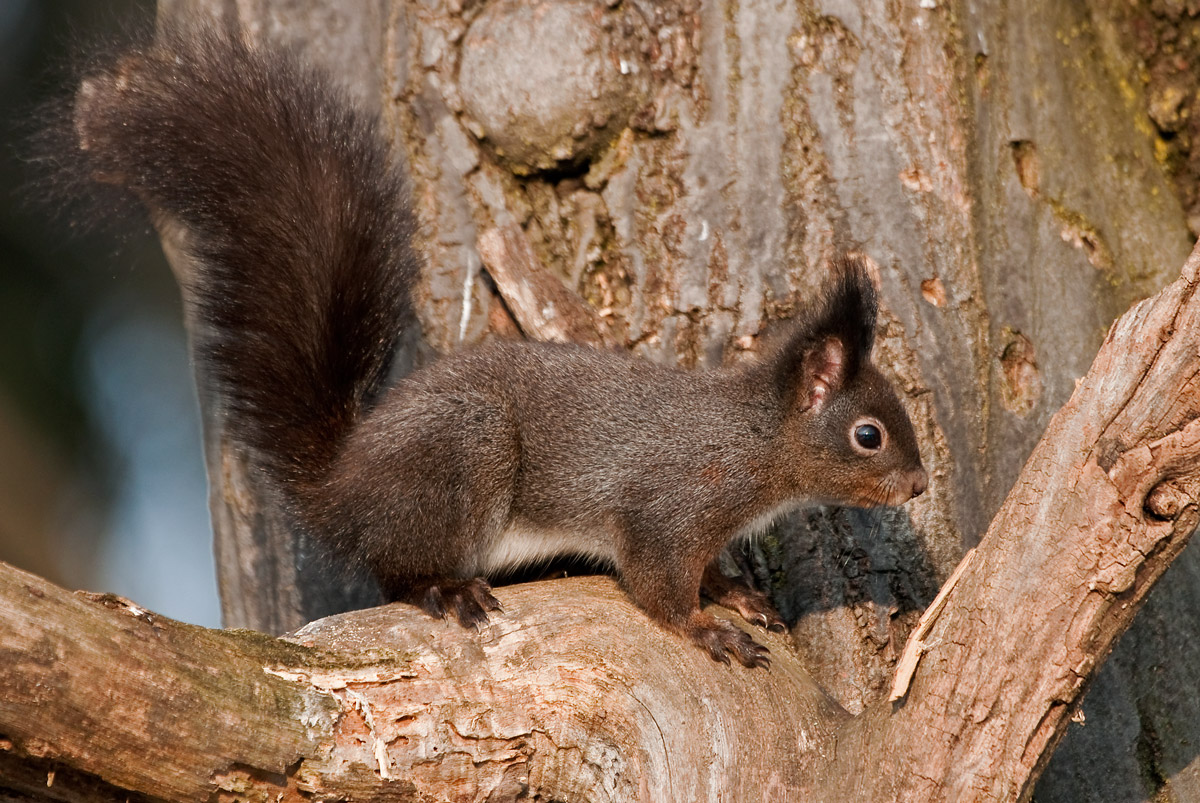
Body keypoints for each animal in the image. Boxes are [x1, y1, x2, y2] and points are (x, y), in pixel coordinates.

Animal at [66, 26, 927, 668]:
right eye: (869, 434)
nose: (918, 485)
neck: (754, 437)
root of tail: (343, 484)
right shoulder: (671, 505)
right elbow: (655, 585)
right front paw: (707, 627)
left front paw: (734, 592)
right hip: (464, 454)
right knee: (396, 566)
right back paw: (445, 589)